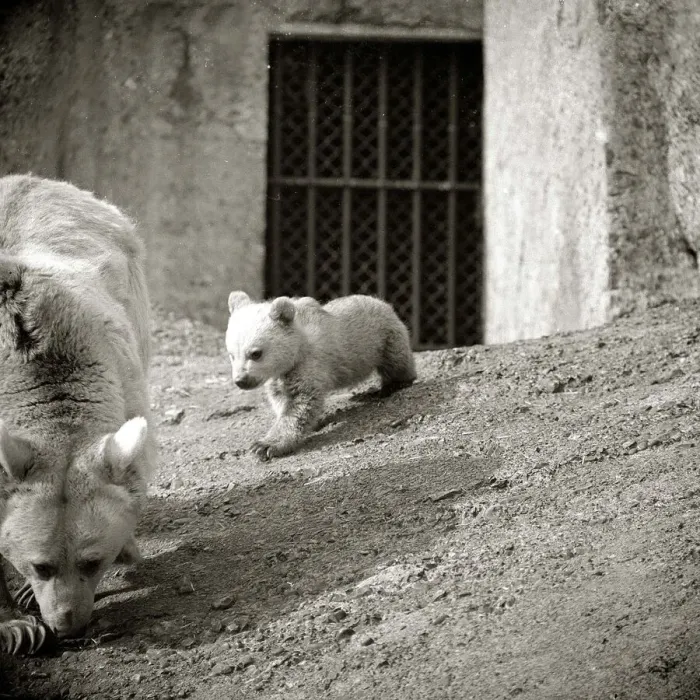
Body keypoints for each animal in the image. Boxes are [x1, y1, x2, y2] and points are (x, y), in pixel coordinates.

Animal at [225, 292, 417, 461]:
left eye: (256, 353)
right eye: (231, 354)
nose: (241, 381)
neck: (299, 344)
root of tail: (382, 302)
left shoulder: (308, 363)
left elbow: (300, 403)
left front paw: (265, 446)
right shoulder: (279, 376)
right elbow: (280, 398)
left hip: (384, 337)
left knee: (395, 361)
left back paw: (391, 386)